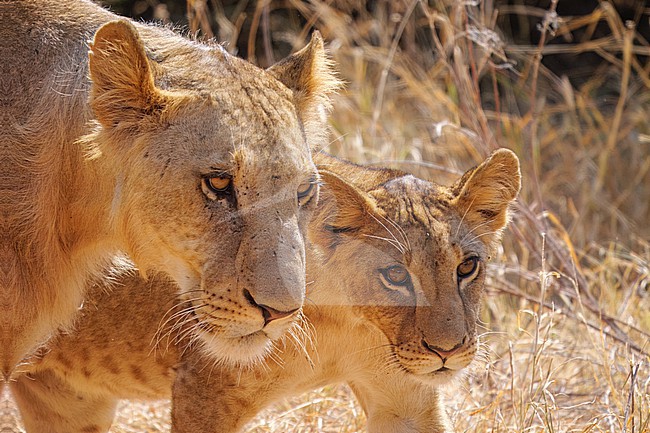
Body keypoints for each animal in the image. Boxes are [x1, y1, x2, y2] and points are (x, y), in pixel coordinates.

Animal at [11, 150, 520, 433]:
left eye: (467, 267)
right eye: (395, 275)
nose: (447, 352)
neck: (352, 321)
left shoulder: (406, 399)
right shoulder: (204, 393)